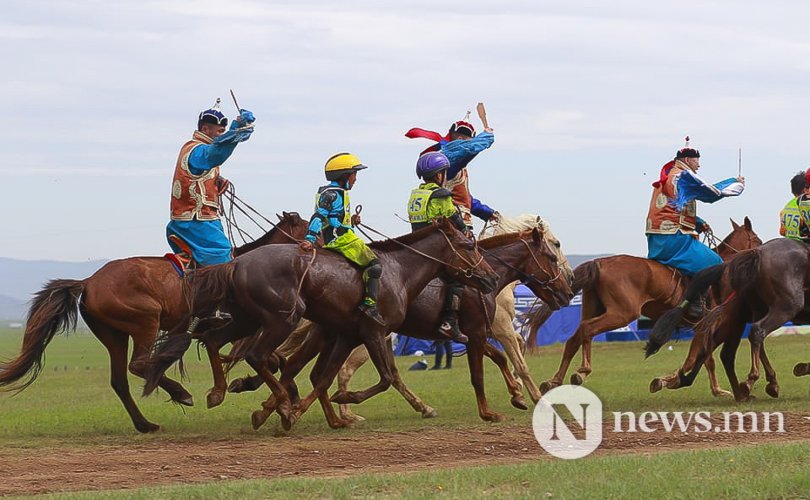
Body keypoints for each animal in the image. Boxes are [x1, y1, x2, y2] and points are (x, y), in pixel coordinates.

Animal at [0, 212, 310, 434]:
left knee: (119, 380)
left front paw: (283, 397)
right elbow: (272, 360)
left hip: (114, 335)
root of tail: (88, 281)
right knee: (138, 365)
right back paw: (181, 393)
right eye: (309, 225)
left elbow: (277, 361)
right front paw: (274, 396)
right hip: (146, 322)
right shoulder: (244, 329)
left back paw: (145, 424)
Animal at [144, 219, 498, 430]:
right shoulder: (374, 332)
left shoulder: (347, 335)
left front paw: (308, 411)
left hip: (247, 319)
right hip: (282, 318)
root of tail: (236, 262)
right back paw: (279, 401)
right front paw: (337, 402)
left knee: (216, 341)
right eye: (469, 246)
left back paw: (220, 392)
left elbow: (324, 378)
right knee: (257, 356)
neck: (399, 272)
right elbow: (384, 378)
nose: (492, 276)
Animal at [524, 217, 764, 392]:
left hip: (594, 308)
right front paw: (675, 380)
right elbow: (699, 357)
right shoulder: (705, 325)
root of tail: (599, 263)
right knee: (587, 330)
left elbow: (705, 358)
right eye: (758, 240)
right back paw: (582, 370)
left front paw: (712, 388)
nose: (762, 253)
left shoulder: (701, 327)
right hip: (621, 314)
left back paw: (555, 380)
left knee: (574, 338)